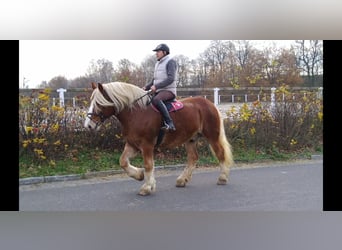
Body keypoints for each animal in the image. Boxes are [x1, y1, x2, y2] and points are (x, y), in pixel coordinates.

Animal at [84, 81, 234, 195]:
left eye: (99, 103)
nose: (88, 125)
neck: (137, 113)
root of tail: (210, 104)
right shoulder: (132, 144)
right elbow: (123, 162)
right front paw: (139, 175)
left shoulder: (147, 145)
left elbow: (148, 165)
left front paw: (147, 187)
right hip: (190, 139)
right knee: (193, 158)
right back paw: (182, 180)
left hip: (212, 136)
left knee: (220, 154)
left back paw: (222, 178)